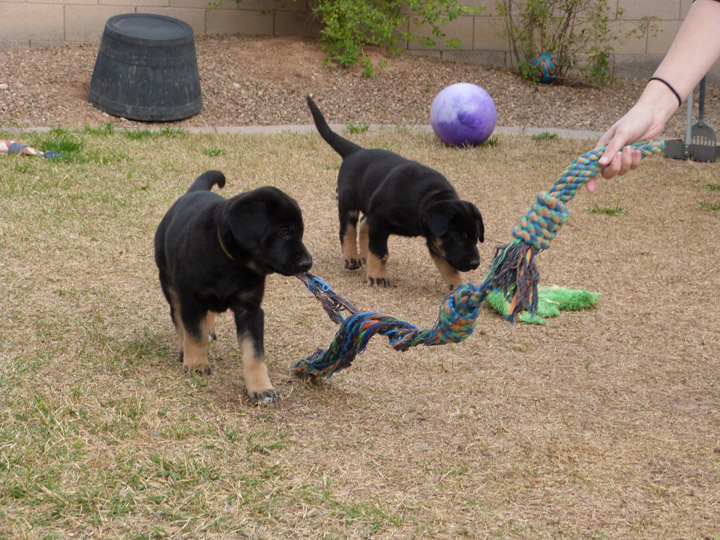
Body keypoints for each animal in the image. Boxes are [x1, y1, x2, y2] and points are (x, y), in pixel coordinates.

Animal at [155, 171, 312, 402]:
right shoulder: (191, 300)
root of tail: (194, 191)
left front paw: (260, 388)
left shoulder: (250, 309)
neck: (232, 262)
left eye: (300, 232)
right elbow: (194, 333)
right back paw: (185, 349)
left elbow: (254, 353)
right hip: (169, 281)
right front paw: (196, 364)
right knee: (177, 316)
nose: (308, 263)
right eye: (283, 232)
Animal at [306, 95, 486, 288]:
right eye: (459, 238)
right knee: (348, 230)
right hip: (348, 202)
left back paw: (364, 254)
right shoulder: (380, 221)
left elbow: (448, 268)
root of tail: (355, 152)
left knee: (364, 222)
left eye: (476, 237)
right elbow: (380, 252)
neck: (425, 199)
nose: (476, 263)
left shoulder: (435, 241)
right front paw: (378, 277)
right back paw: (352, 257)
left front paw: (461, 287)